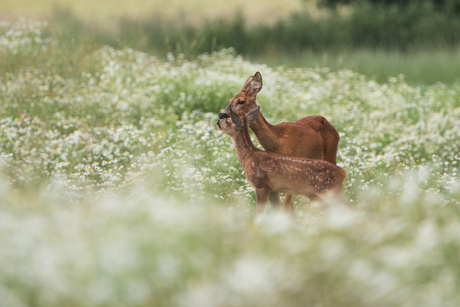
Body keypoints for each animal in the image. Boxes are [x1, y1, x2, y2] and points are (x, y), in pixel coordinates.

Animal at [219, 72, 342, 213]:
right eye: (230, 100)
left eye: (240, 101)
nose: (221, 114)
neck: (277, 141)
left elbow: (285, 207)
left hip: (331, 153)